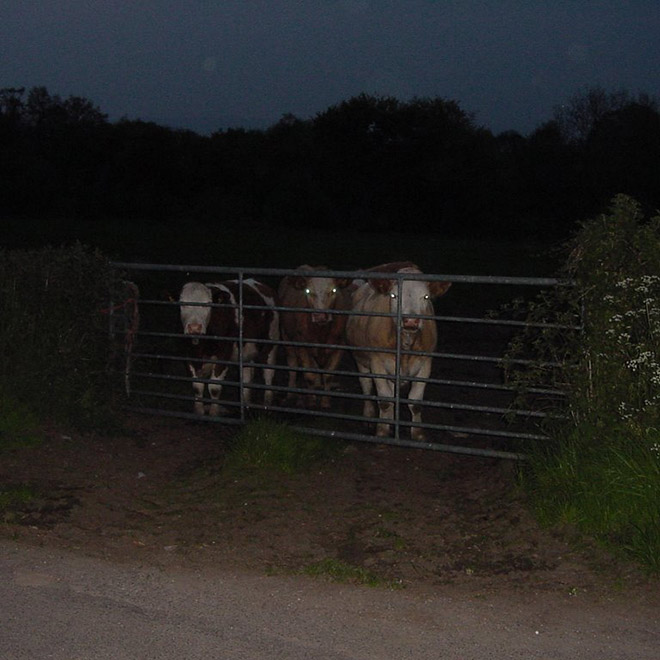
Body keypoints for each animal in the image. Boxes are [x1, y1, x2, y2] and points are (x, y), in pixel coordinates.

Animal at [178, 280, 278, 416]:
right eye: (182, 303)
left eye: (208, 303)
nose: (194, 328)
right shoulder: (189, 355)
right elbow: (197, 387)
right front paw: (199, 413)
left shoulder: (224, 354)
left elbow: (214, 388)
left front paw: (214, 413)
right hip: (246, 352)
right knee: (246, 377)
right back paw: (246, 405)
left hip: (270, 345)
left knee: (268, 374)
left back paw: (267, 406)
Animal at [278, 262, 354, 408]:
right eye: (308, 291)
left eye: (333, 291)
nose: (320, 316)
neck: (321, 332)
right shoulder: (302, 346)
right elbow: (309, 376)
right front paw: (311, 402)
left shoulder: (339, 346)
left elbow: (328, 376)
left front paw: (325, 402)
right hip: (286, 338)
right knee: (293, 365)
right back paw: (292, 394)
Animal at [342, 260, 452, 440]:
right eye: (394, 296)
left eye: (426, 297)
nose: (411, 321)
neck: (406, 343)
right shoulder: (377, 364)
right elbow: (384, 401)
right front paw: (382, 431)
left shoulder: (425, 364)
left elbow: (415, 402)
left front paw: (418, 433)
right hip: (361, 361)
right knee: (366, 386)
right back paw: (369, 416)